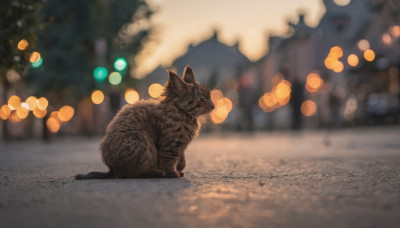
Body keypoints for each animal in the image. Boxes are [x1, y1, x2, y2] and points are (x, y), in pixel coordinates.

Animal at [74, 65, 212, 179]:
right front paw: (172, 173)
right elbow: (169, 159)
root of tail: (111, 170)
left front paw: (180, 168)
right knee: (130, 173)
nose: (213, 105)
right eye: (201, 100)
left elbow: (181, 159)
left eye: (209, 96)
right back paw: (157, 172)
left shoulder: (181, 145)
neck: (182, 113)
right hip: (142, 142)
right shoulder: (171, 143)